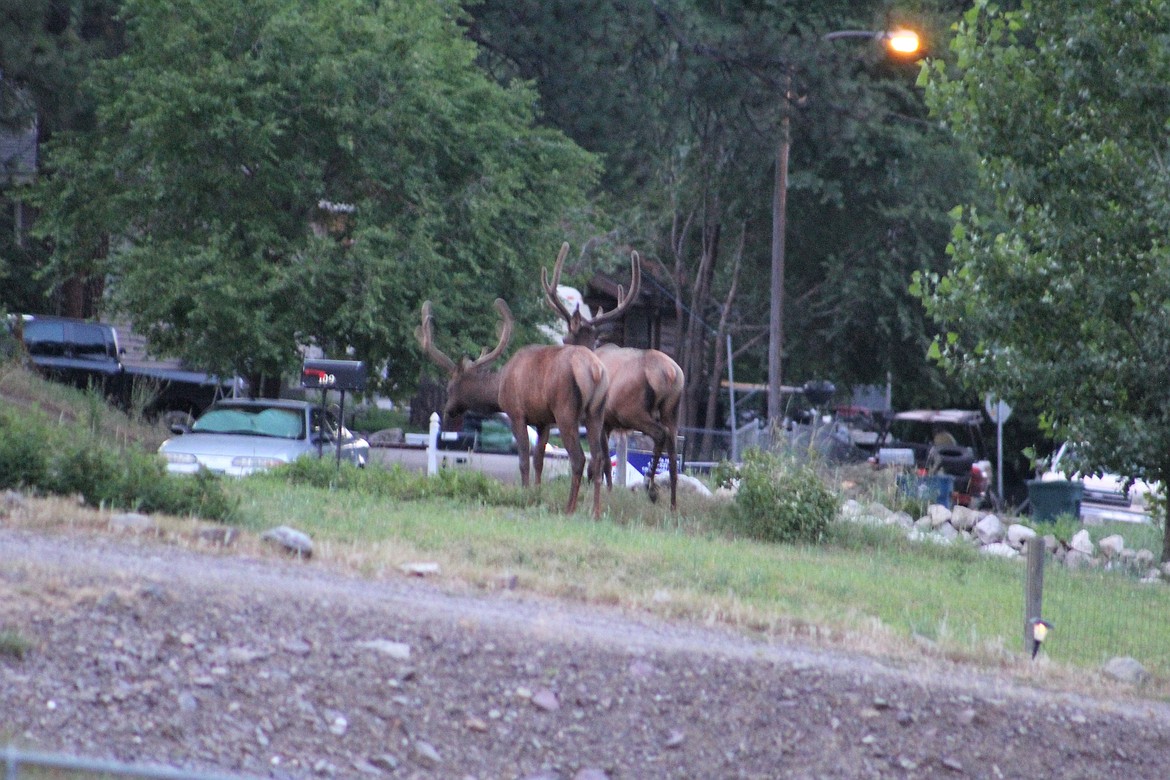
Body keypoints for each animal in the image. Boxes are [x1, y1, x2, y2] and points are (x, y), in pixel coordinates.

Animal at [416, 299, 608, 519]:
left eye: (450, 387)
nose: (448, 410)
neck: (499, 388)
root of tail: (595, 370)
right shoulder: (543, 421)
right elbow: (539, 460)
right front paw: (537, 495)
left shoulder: (516, 413)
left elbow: (524, 458)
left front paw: (525, 496)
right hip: (596, 413)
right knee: (599, 458)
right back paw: (596, 511)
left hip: (565, 411)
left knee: (579, 458)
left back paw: (569, 509)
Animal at [540, 244, 683, 512]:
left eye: (565, 337)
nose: (561, 346)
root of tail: (670, 375)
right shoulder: (609, 422)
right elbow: (604, 462)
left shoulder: (605, 418)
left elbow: (604, 461)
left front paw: (605, 494)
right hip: (673, 410)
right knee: (673, 452)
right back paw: (672, 504)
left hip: (633, 410)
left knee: (660, 435)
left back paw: (650, 488)